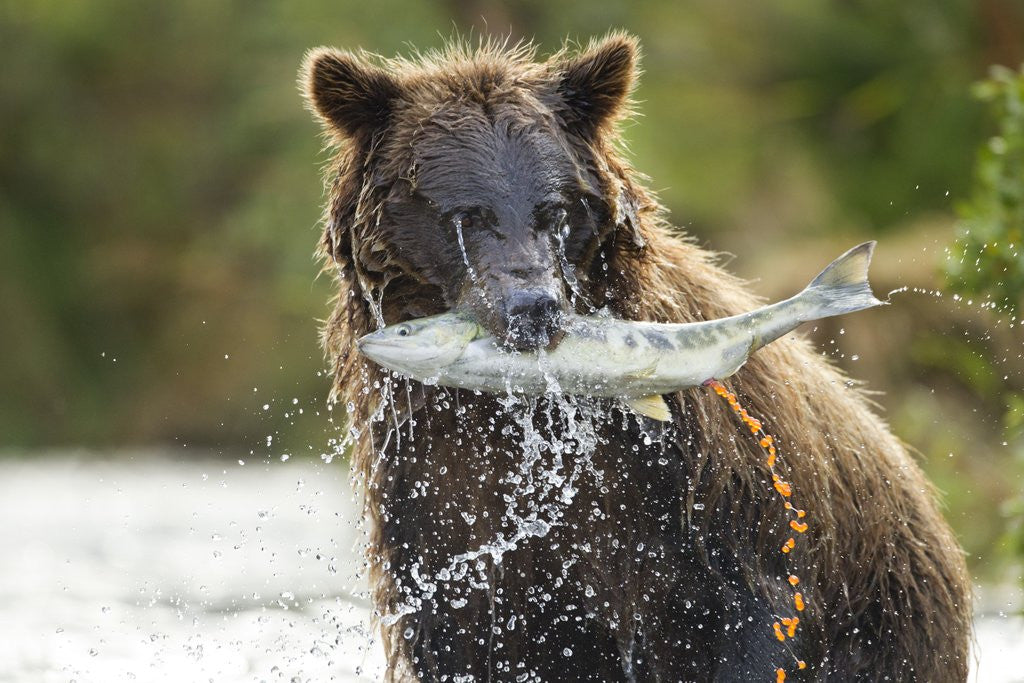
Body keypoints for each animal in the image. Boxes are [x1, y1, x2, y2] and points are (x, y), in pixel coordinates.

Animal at [300, 34, 971, 682]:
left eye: (556, 208)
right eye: (466, 216)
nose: (533, 308)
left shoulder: (701, 489)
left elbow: (753, 618)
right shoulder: (436, 498)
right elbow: (466, 633)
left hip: (890, 613)